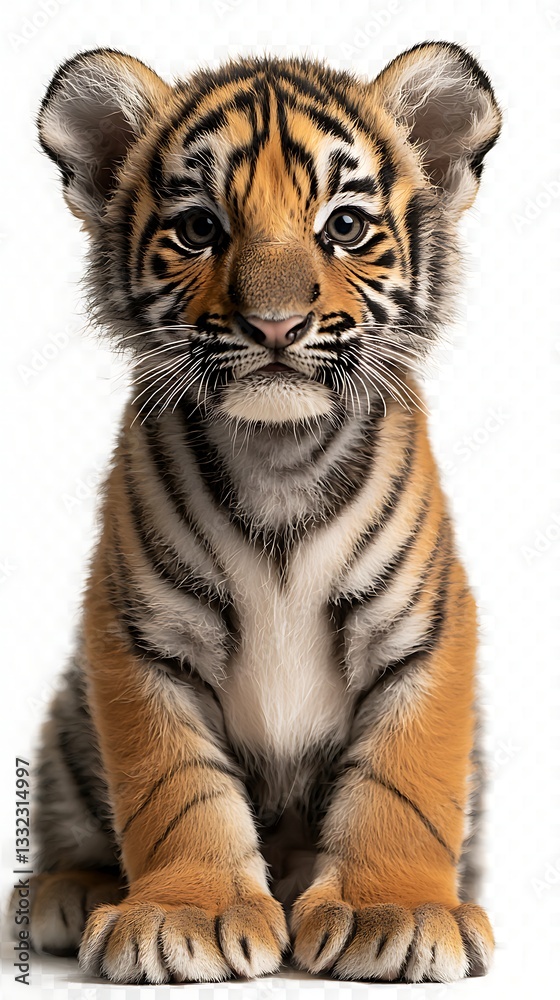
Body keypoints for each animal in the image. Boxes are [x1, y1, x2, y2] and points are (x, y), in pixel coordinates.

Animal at [18, 41, 501, 984]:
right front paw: (183, 914)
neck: (279, 453)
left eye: (343, 227)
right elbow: (175, 788)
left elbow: (406, 778)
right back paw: (70, 890)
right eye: (200, 229)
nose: (275, 324)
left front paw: (396, 911)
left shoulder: (425, 626)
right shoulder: (138, 635)